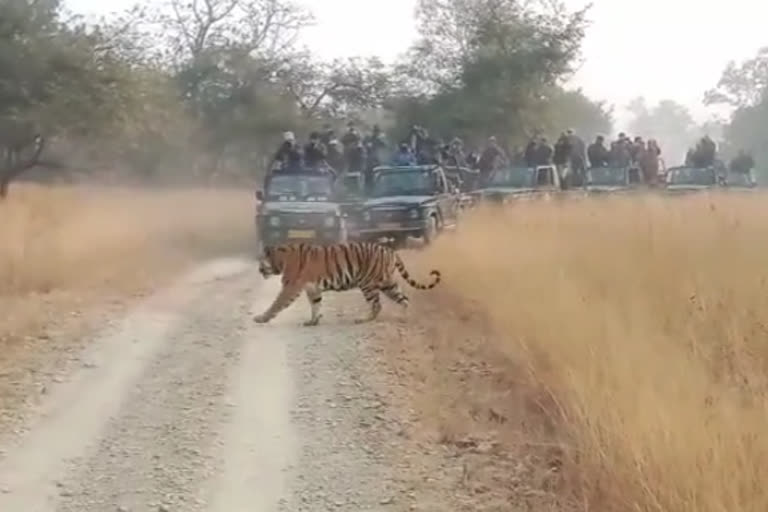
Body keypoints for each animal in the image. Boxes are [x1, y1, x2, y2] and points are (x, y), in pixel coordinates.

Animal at [255, 241, 440, 328]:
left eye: (260, 261)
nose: (258, 270)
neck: (280, 259)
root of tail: (390, 251)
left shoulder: (291, 286)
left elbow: (276, 304)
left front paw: (261, 318)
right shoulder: (312, 288)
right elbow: (315, 305)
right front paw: (313, 321)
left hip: (368, 283)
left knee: (377, 304)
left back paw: (363, 319)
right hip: (387, 283)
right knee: (404, 298)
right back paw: (404, 317)